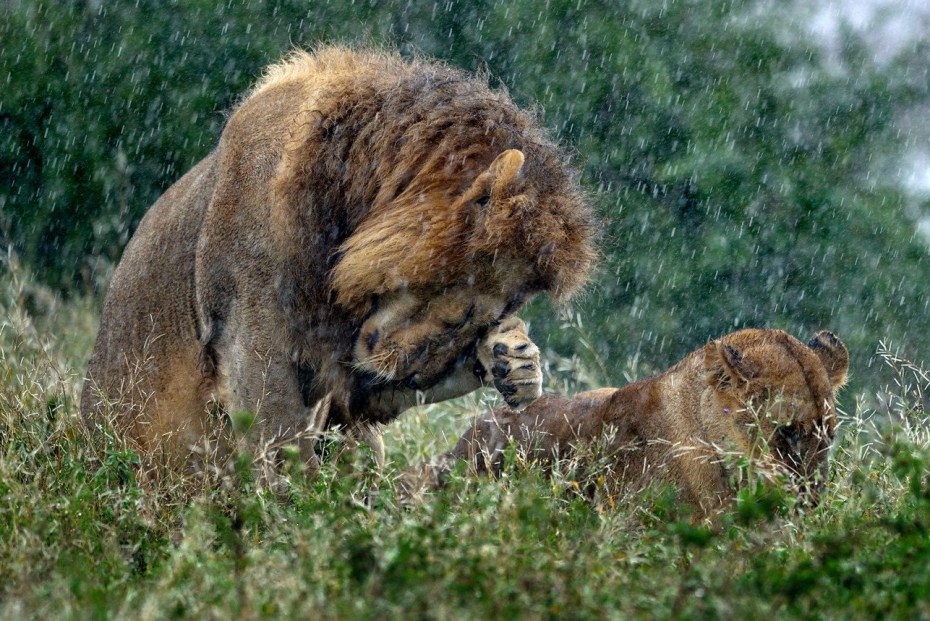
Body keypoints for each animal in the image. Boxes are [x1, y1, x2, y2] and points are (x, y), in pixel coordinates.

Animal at [85, 46, 596, 468]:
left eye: (490, 316)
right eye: (467, 307)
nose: (414, 374)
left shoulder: (351, 373)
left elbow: (361, 400)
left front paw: (517, 361)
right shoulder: (249, 332)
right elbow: (279, 444)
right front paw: (294, 515)